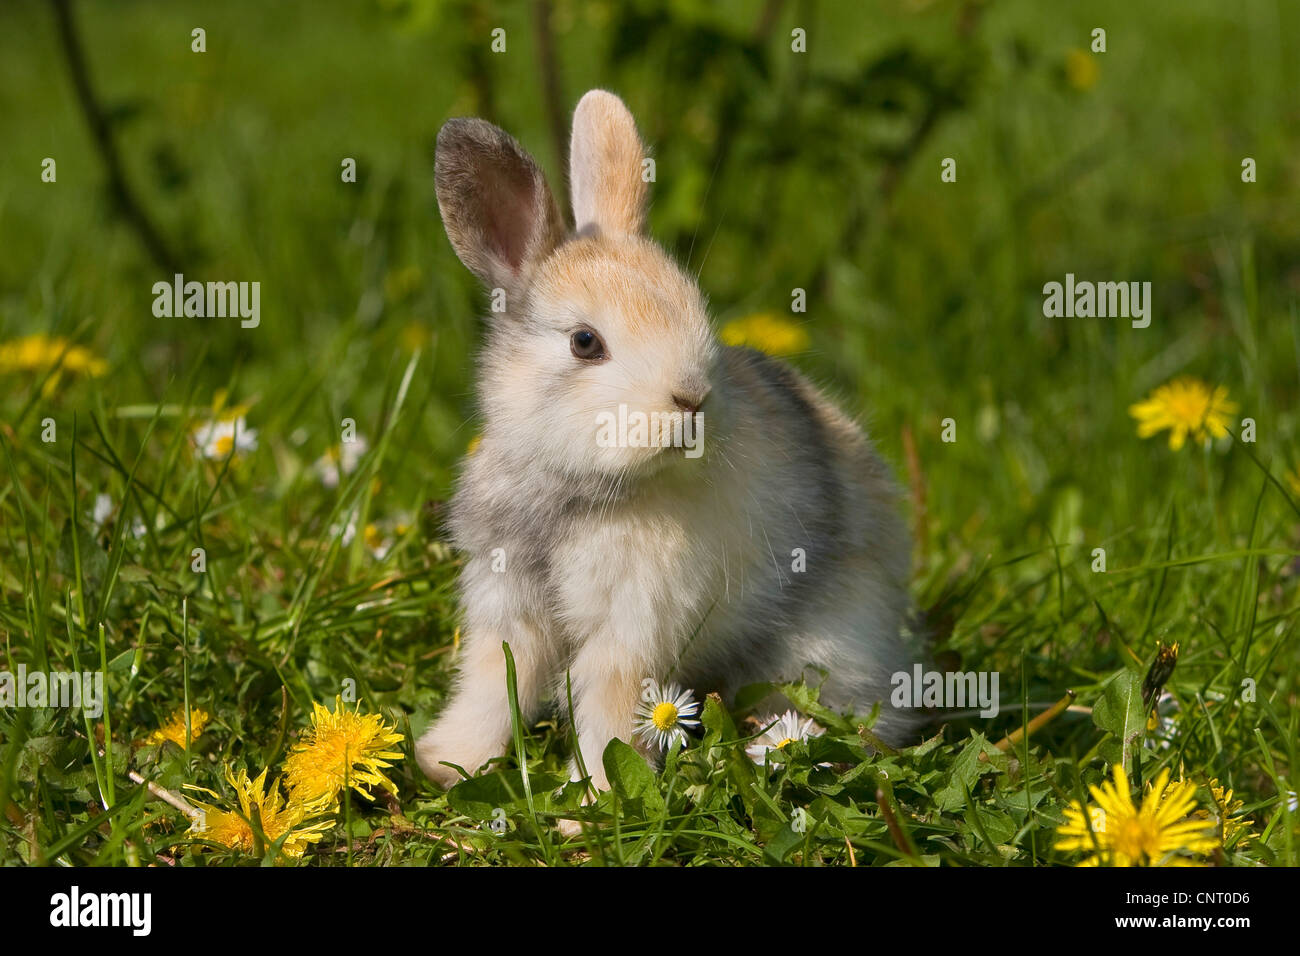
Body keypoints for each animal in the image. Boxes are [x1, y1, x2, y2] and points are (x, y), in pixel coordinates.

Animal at [416, 89, 921, 793]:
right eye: (585, 342)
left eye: (696, 310)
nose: (692, 399)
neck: (579, 490)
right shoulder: (505, 606)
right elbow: (493, 686)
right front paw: (448, 762)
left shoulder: (633, 628)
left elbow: (610, 709)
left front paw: (590, 800)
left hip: (831, 644)